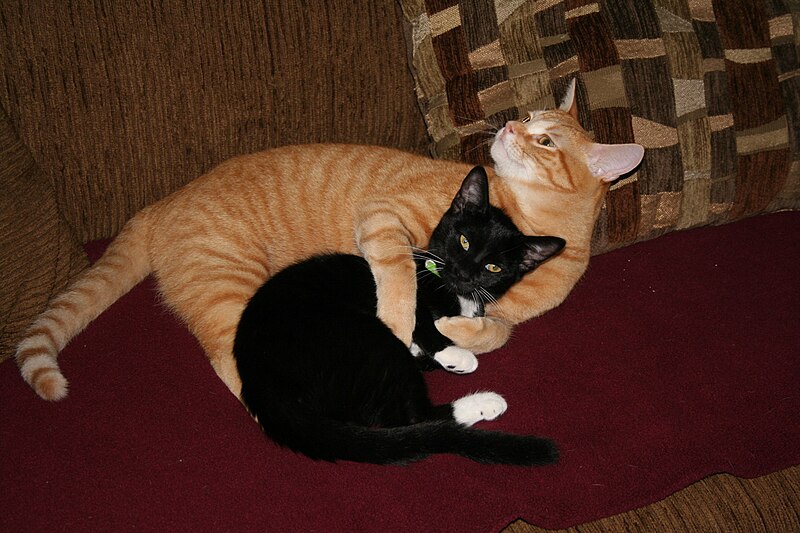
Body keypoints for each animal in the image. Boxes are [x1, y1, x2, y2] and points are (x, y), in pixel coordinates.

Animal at [15, 81, 644, 400]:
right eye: (530, 118)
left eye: (544, 139)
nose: (510, 124)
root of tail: (160, 203)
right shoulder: (385, 219)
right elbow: (399, 279)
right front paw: (405, 326)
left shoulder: (499, 309)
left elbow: (499, 332)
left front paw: (460, 334)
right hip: (231, 290)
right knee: (231, 363)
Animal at [234, 167, 564, 466]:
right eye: (464, 241)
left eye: (493, 267)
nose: (463, 272)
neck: (454, 292)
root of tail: (263, 388)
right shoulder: (407, 288)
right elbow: (415, 311)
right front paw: (454, 353)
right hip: (365, 338)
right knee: (413, 417)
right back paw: (486, 400)